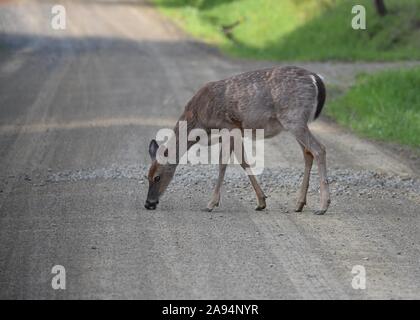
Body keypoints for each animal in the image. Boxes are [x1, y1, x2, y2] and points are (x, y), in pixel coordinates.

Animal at [144, 65, 332, 215]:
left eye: (157, 177)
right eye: (147, 176)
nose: (148, 203)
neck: (199, 119)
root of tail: (315, 78)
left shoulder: (228, 126)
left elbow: (223, 163)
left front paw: (211, 204)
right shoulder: (236, 131)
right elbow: (243, 161)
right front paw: (261, 201)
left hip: (294, 118)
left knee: (319, 149)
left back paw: (323, 206)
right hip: (295, 122)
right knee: (308, 153)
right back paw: (299, 204)